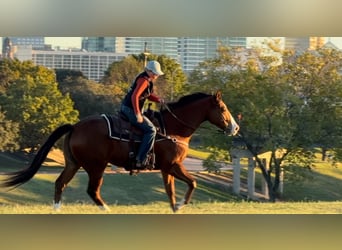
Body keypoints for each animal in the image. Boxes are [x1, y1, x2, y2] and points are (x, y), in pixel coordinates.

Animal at [1, 91, 239, 212]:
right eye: (223, 108)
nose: (235, 128)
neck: (172, 128)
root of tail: (75, 126)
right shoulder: (173, 166)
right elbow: (193, 183)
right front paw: (182, 204)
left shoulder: (166, 169)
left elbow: (171, 191)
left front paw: (175, 207)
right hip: (96, 167)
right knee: (92, 191)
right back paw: (106, 210)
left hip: (73, 164)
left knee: (60, 183)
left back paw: (57, 210)